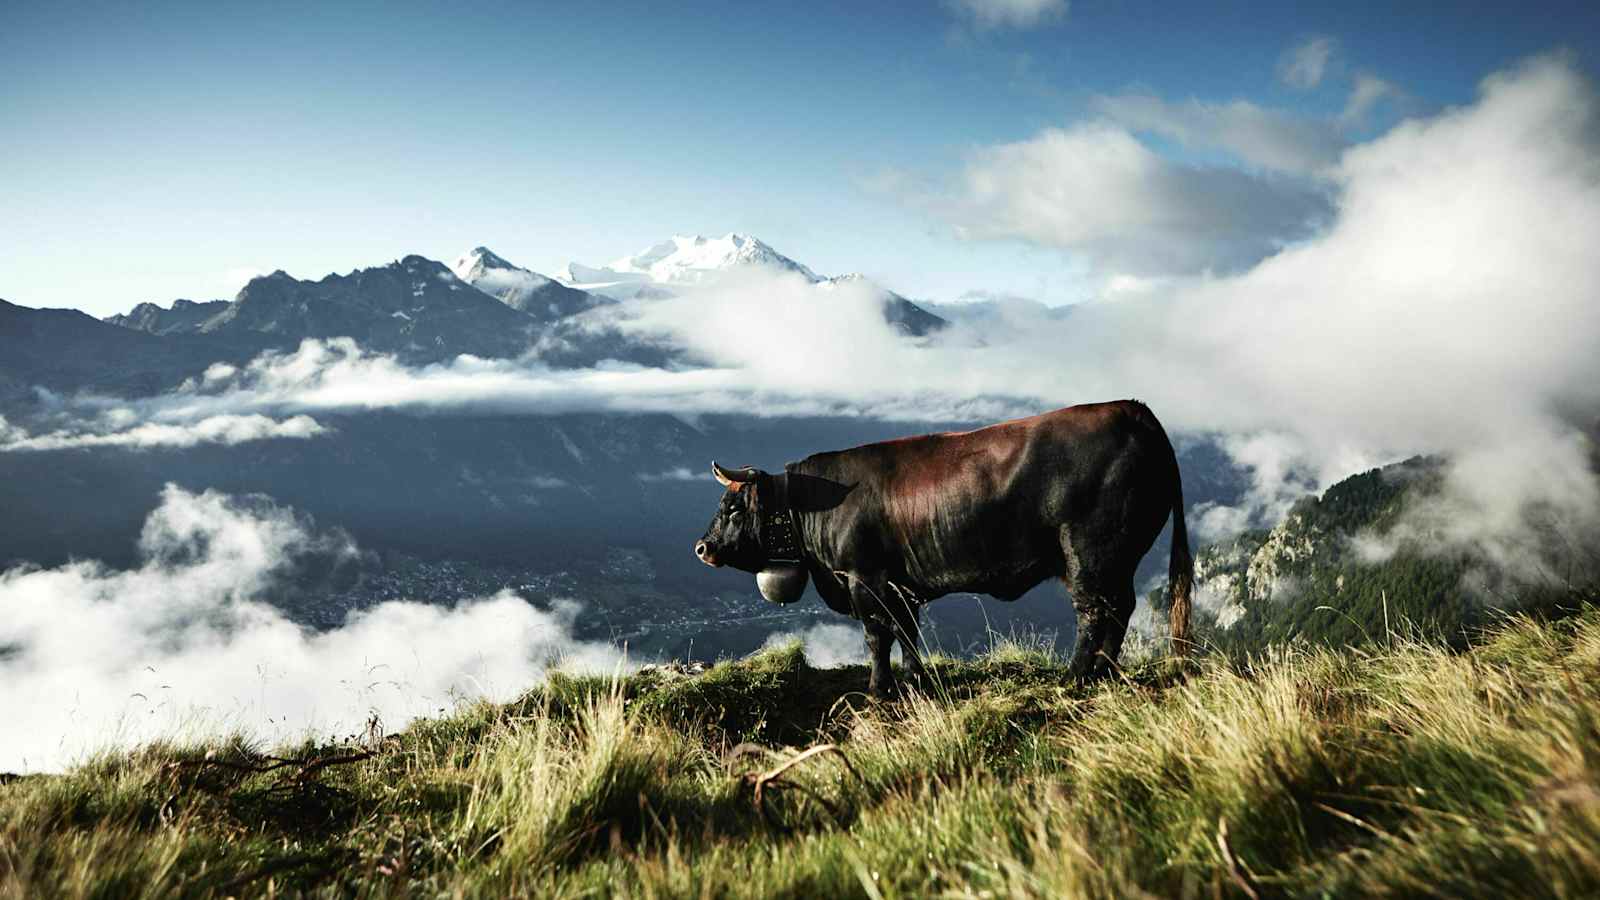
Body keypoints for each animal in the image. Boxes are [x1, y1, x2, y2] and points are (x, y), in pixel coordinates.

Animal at [694, 398, 1196, 695]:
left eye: (733, 507)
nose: (702, 547)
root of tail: (1133, 409)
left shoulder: (865, 578)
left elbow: (877, 636)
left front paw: (878, 689)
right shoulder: (901, 586)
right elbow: (907, 634)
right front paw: (916, 681)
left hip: (1089, 553)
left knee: (1095, 612)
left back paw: (1074, 678)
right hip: (1117, 559)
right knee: (1120, 608)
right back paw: (1105, 673)